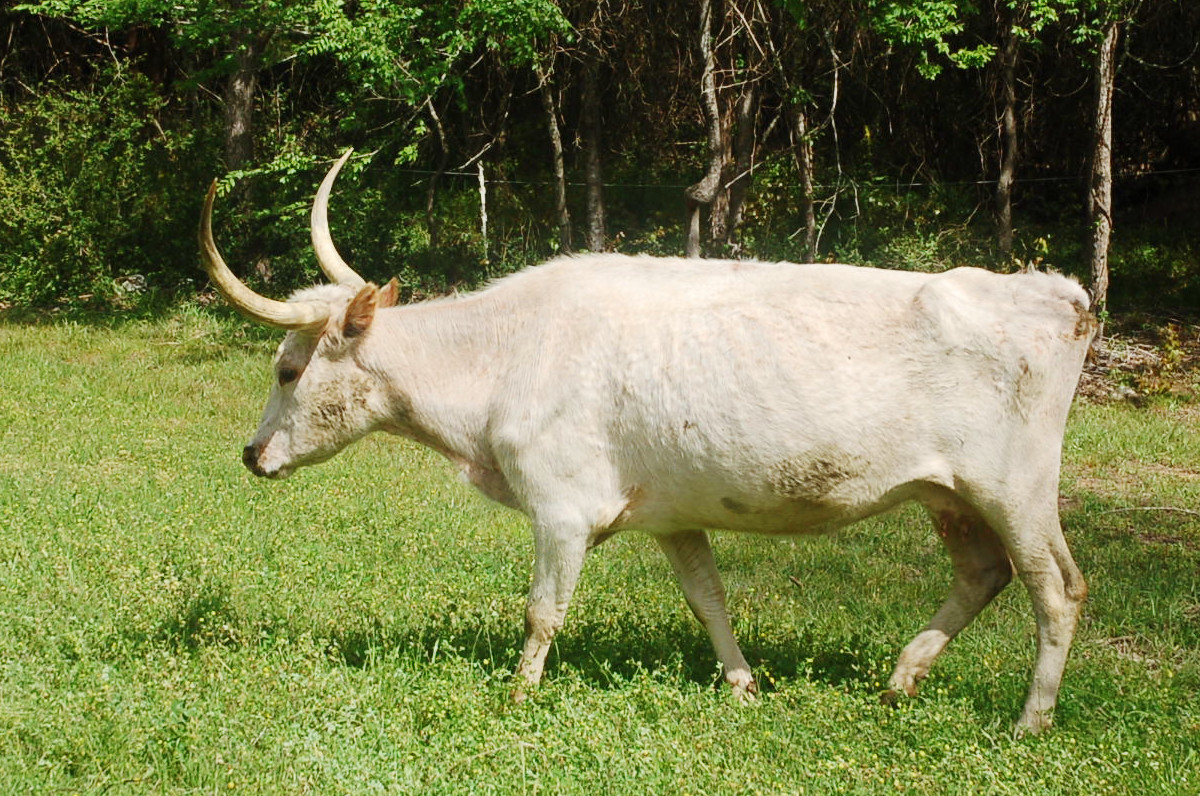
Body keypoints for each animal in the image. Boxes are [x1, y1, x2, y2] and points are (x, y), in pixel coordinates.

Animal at [199, 150, 1096, 735]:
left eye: (286, 368)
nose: (251, 455)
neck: (502, 354)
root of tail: (1058, 295)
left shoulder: (561, 509)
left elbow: (543, 610)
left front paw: (518, 698)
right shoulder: (673, 514)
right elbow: (708, 598)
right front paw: (742, 686)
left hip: (1015, 488)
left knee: (1057, 588)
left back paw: (1030, 721)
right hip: (949, 494)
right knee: (982, 573)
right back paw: (902, 679)